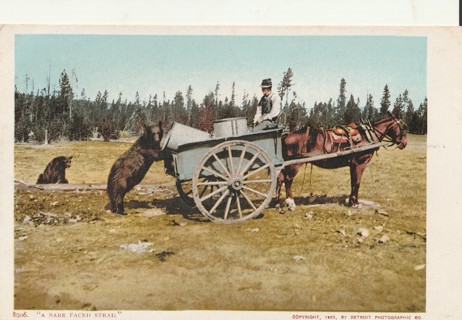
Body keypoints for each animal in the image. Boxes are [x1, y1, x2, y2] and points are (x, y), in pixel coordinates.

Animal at [274, 112, 408, 210]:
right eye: (403, 127)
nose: (404, 143)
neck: (368, 135)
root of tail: (286, 136)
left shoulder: (352, 165)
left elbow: (353, 182)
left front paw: (351, 201)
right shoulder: (360, 163)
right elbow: (357, 183)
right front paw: (356, 203)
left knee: (280, 178)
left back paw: (276, 200)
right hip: (295, 164)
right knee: (288, 180)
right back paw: (290, 202)